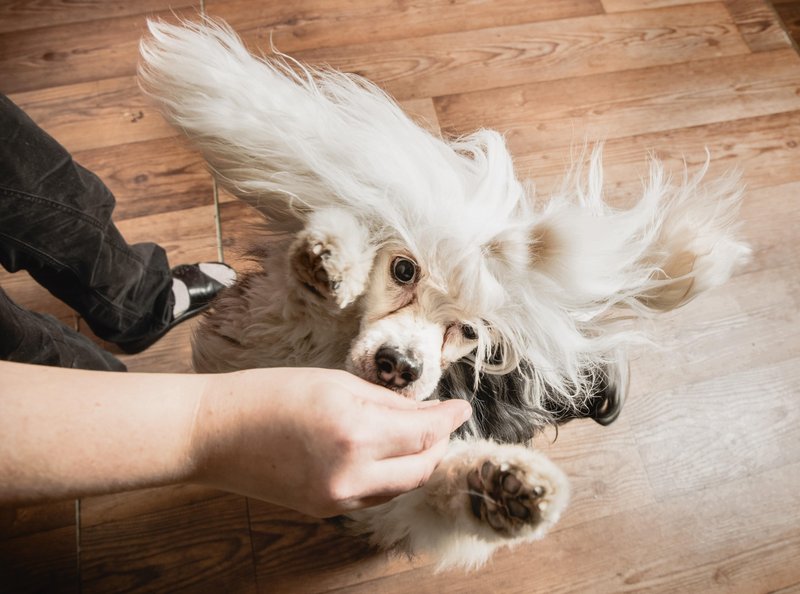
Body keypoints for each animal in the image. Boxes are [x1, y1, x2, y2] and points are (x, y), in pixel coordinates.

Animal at [138, 19, 752, 568]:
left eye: (472, 330)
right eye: (403, 270)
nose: (399, 366)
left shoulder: (395, 487)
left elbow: (439, 490)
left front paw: (501, 490)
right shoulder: (253, 341)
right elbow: (305, 301)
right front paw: (332, 261)